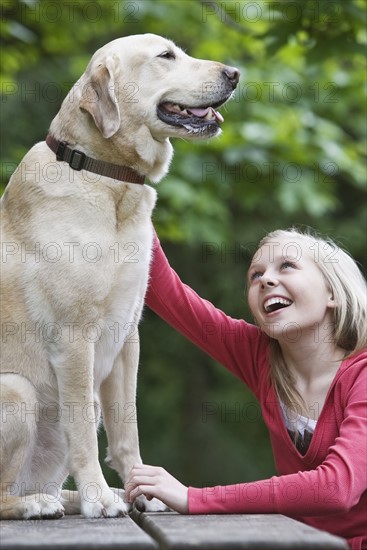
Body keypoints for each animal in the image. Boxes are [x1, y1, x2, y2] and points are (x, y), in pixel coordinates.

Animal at [0, 34, 240, 520]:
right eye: (166, 56)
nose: (235, 74)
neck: (107, 178)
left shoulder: (128, 335)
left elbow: (126, 428)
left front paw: (141, 489)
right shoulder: (74, 337)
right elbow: (81, 432)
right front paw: (99, 496)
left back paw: (66, 497)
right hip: (16, 391)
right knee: (2, 496)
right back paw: (39, 504)